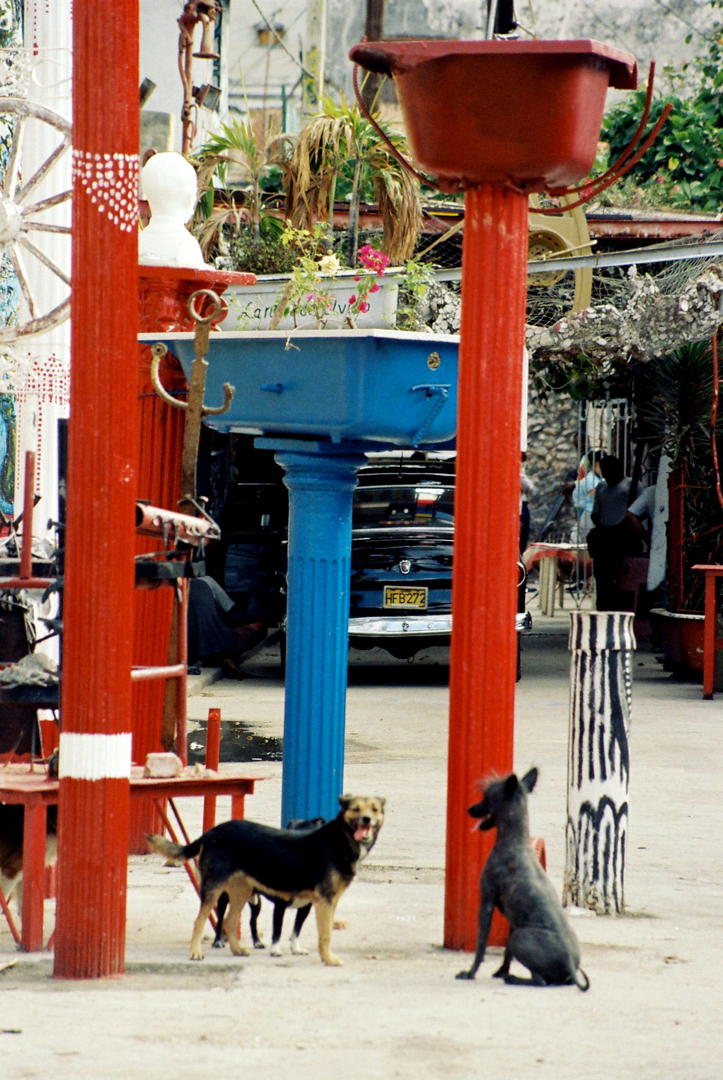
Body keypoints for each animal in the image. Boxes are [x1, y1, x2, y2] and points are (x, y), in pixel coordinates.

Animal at [146, 794, 382, 963]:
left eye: (375, 809)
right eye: (355, 809)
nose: (367, 819)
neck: (339, 840)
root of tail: (210, 833)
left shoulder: (320, 903)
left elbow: (303, 930)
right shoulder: (320, 902)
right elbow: (321, 934)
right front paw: (328, 959)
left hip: (242, 892)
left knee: (231, 920)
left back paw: (238, 948)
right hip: (214, 890)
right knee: (201, 921)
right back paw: (196, 952)